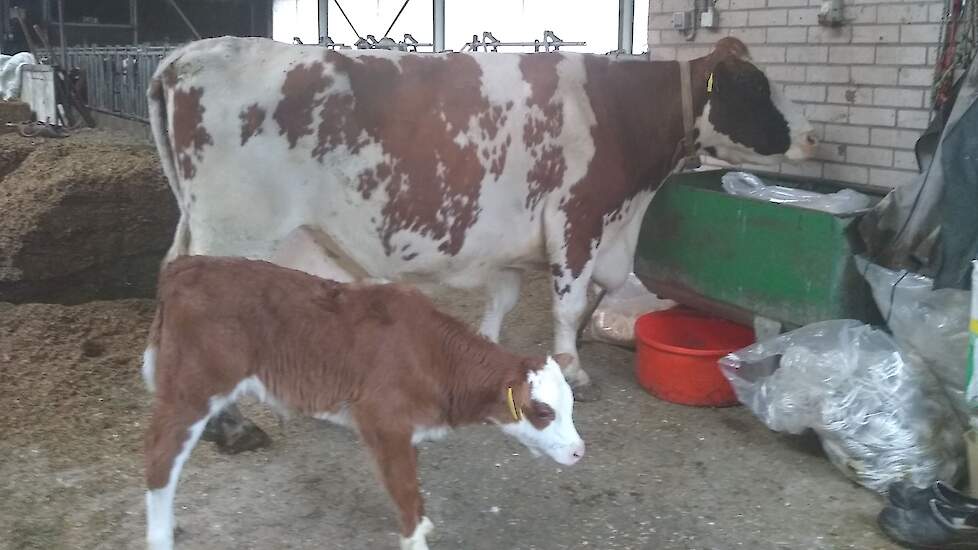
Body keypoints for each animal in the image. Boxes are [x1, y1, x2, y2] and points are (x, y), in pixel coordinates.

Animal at [141, 258, 584, 550]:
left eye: (570, 406)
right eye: (543, 411)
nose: (580, 451)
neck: (434, 356)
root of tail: (185, 265)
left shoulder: (407, 431)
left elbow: (414, 487)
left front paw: (423, 523)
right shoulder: (382, 421)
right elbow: (403, 490)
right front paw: (414, 539)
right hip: (192, 388)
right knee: (160, 461)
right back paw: (161, 536)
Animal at [147, 33, 816, 448]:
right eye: (753, 88)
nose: (813, 135)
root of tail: (190, 54)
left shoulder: (515, 236)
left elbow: (502, 301)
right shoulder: (578, 217)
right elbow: (569, 304)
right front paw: (573, 369)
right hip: (235, 229)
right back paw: (230, 427)